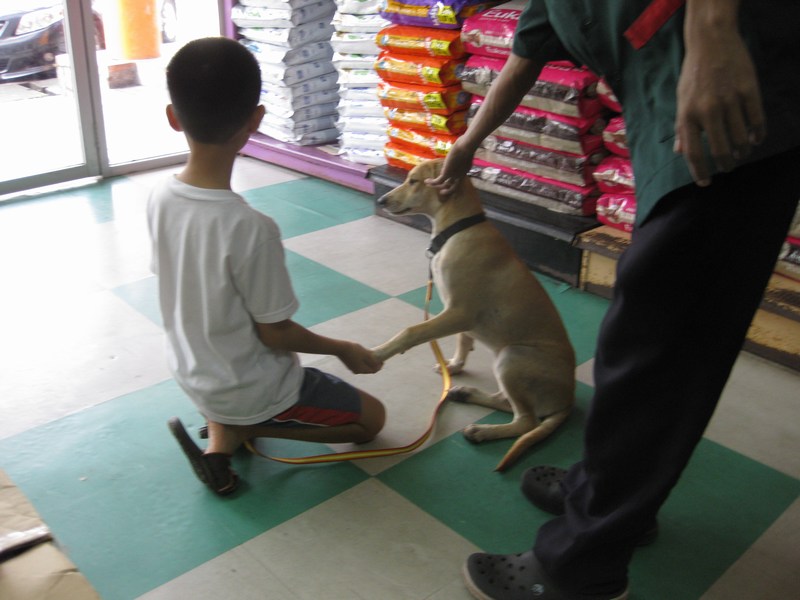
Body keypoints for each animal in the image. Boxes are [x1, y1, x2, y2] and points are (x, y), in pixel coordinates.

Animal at [372, 159, 575, 471]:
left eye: (413, 181)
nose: (382, 200)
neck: (457, 229)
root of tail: (568, 400)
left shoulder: (458, 312)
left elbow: (412, 332)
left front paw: (380, 353)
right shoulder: (457, 314)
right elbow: (463, 340)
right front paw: (454, 366)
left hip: (511, 357)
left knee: (526, 421)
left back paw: (482, 431)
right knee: (509, 404)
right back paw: (465, 393)